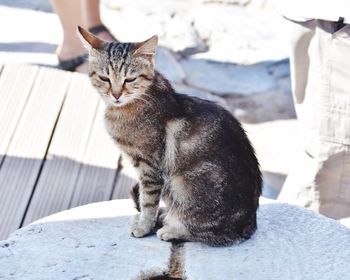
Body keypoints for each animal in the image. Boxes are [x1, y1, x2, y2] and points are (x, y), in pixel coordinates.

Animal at [78, 25, 262, 245]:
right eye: (104, 78)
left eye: (129, 79)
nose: (116, 94)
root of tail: (249, 225)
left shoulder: (149, 167)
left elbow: (148, 201)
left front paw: (143, 226)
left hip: (181, 183)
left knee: (207, 232)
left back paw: (172, 229)